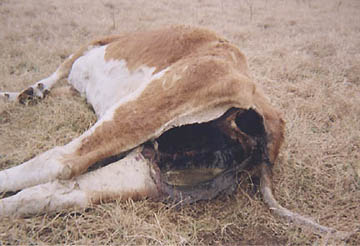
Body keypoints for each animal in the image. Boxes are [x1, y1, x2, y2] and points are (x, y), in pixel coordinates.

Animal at [0, 26, 342, 235]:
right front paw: (26, 93)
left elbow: (58, 71)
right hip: (148, 167)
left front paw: (26, 92)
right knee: (57, 193)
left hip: (143, 110)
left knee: (60, 163)